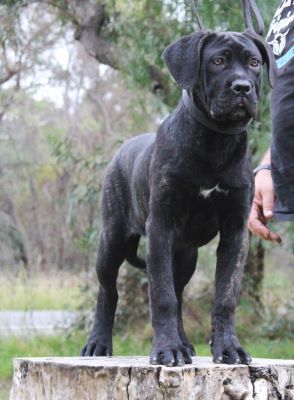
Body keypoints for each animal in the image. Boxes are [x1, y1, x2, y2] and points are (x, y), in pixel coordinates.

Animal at [81, 28, 276, 366]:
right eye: (218, 61)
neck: (216, 140)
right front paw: (167, 349)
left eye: (253, 62)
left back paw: (184, 342)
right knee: (108, 291)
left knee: (180, 293)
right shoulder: (160, 224)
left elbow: (225, 295)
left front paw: (228, 347)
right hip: (112, 239)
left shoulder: (236, 231)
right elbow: (162, 296)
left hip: (185, 255)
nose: (242, 87)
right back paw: (98, 343)